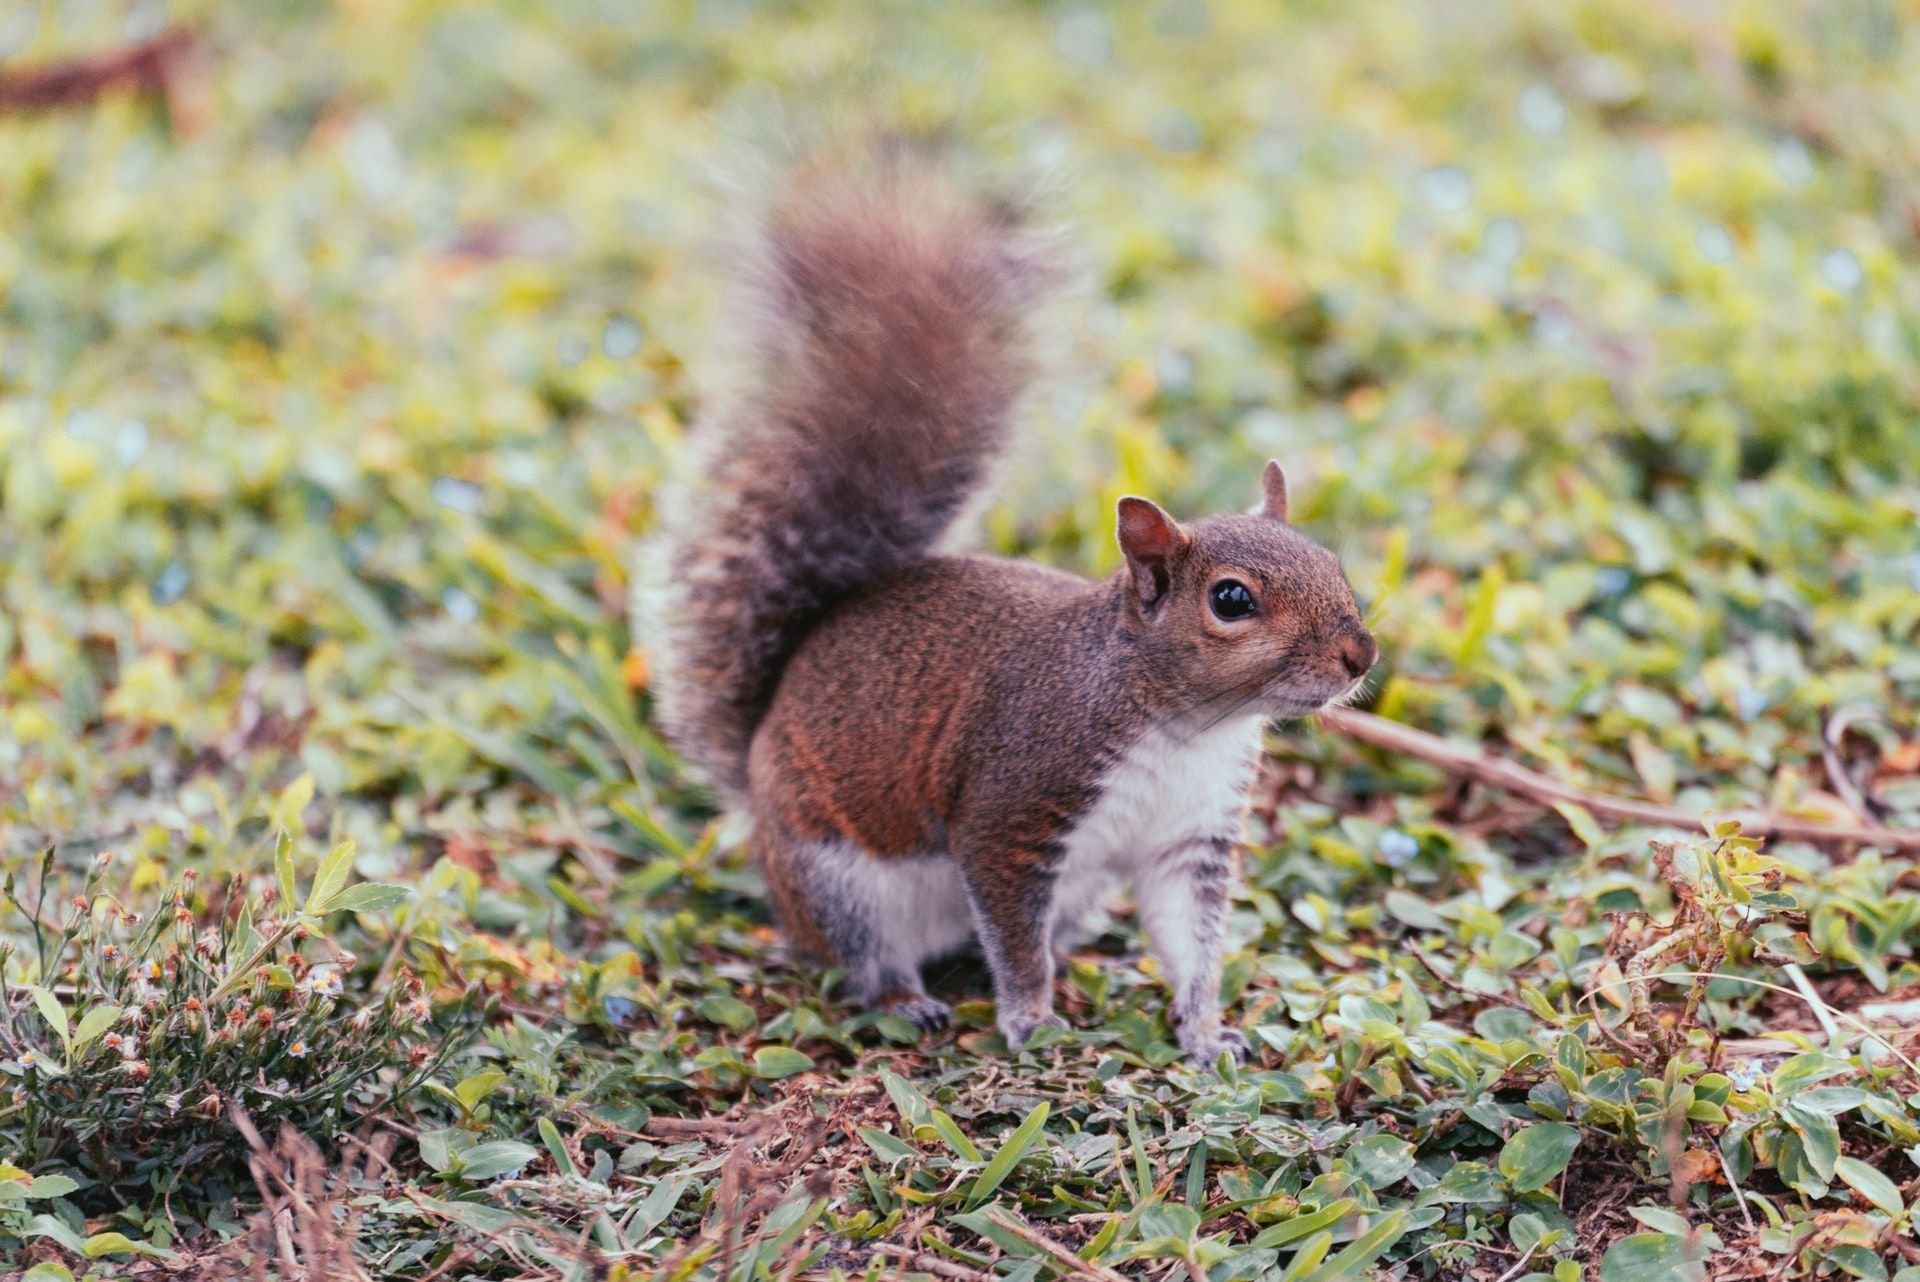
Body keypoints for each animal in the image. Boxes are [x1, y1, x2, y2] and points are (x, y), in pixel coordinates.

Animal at [645, 140, 1382, 1059]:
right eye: (1232, 600)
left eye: (1331, 560)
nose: (1360, 654)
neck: (1189, 728)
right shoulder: (1013, 809)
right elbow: (1015, 936)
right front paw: (1033, 1017)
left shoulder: (1190, 839)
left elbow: (1192, 939)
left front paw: (1207, 1031)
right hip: (834, 877)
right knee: (863, 954)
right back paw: (904, 998)